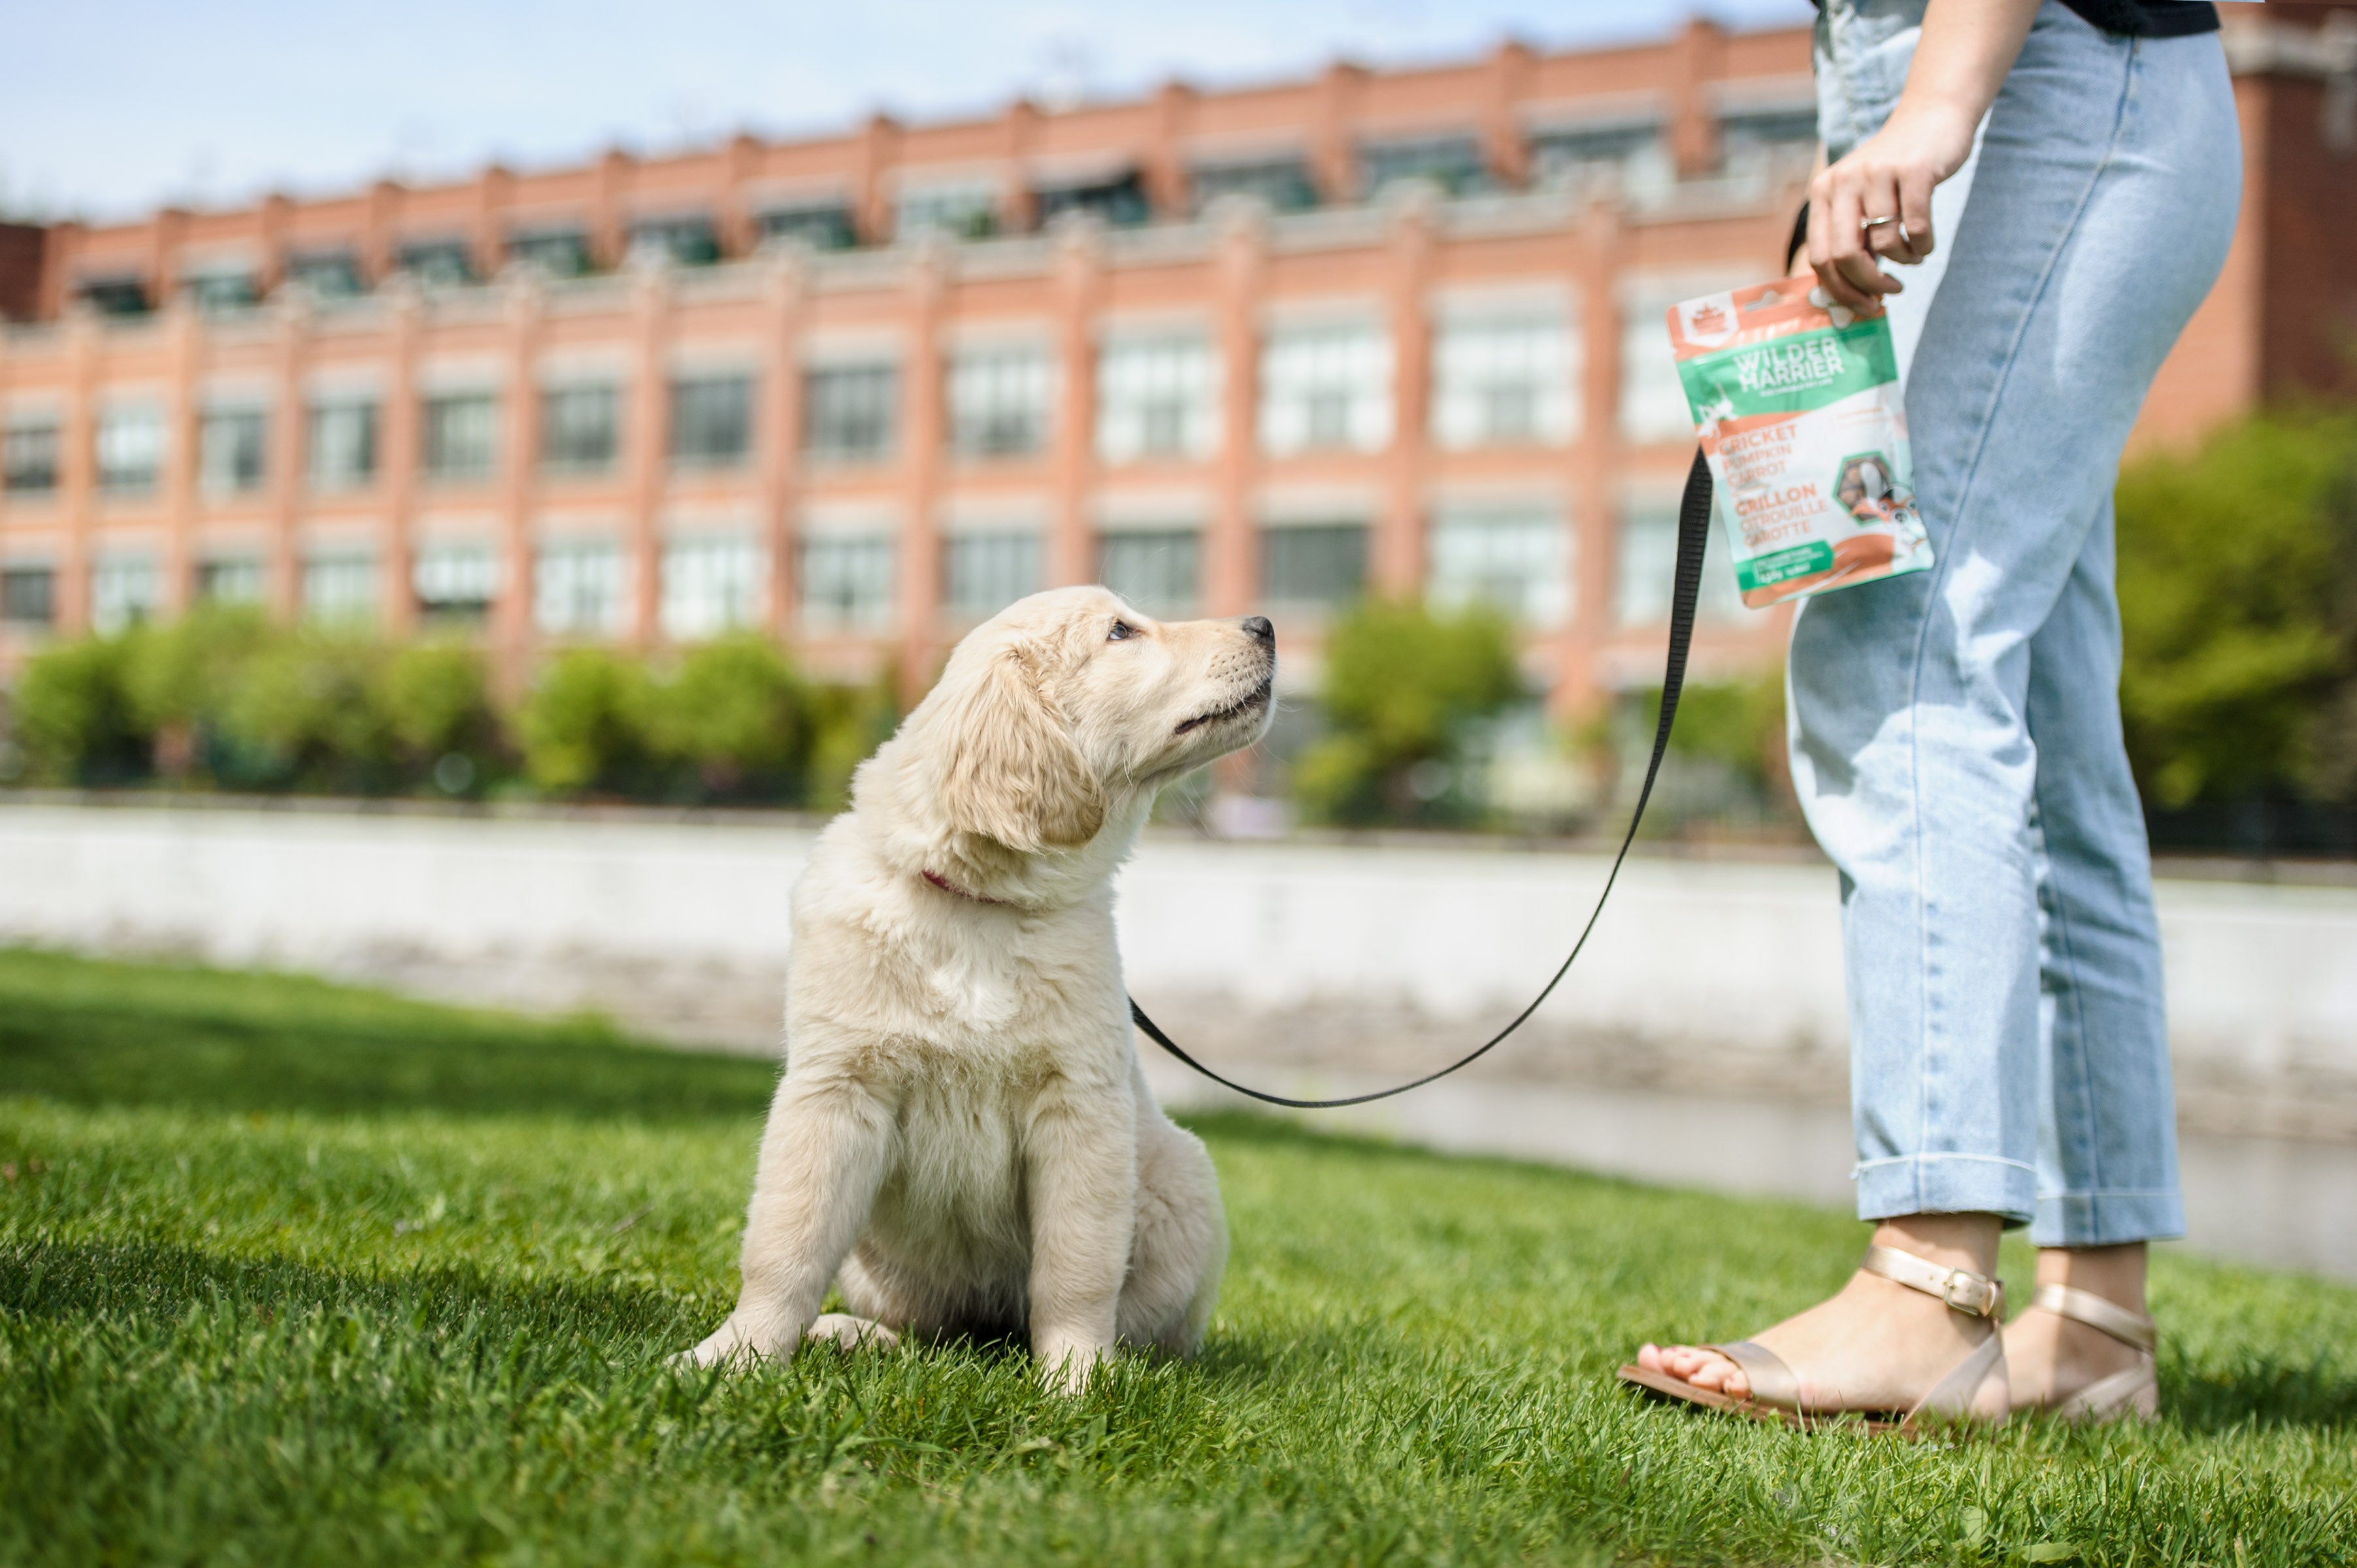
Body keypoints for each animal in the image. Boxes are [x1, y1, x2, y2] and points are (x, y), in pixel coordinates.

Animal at [684, 585, 1272, 1386]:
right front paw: (737, 1353)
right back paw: (856, 1333)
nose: (1265, 626)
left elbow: (1076, 1269)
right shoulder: (835, 1090)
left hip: (1184, 1181)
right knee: (926, 1328)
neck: (981, 908)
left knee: (1149, 1331)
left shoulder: (1080, 1108)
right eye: (1121, 632)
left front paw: (1077, 1380)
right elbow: (784, 1244)